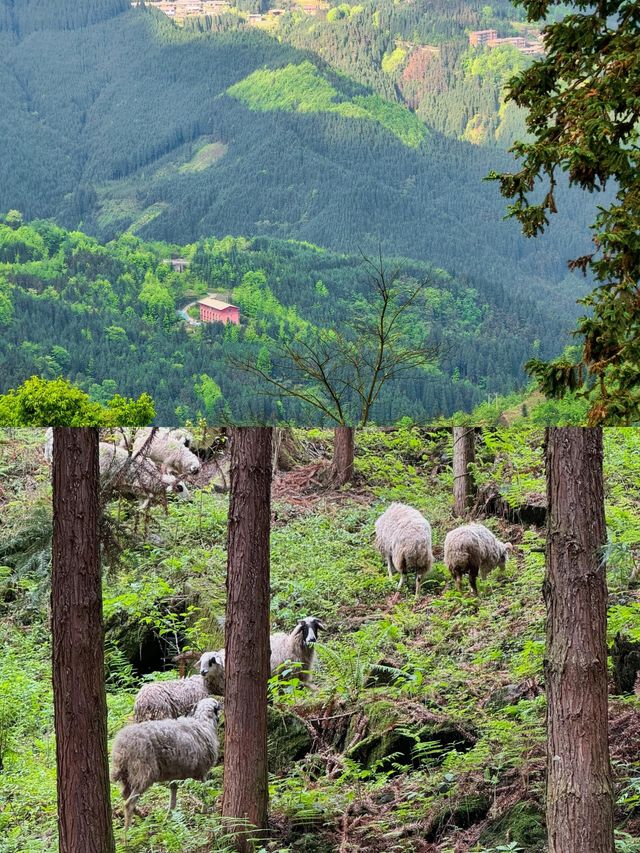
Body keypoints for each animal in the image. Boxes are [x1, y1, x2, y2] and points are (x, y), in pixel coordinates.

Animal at [110, 696, 220, 828]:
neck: (203, 722)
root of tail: (122, 744)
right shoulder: (203, 771)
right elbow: (204, 790)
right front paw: (205, 811)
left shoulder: (174, 773)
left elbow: (173, 791)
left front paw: (170, 815)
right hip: (144, 772)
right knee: (129, 803)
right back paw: (128, 830)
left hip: (126, 775)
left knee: (124, 796)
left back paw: (141, 814)